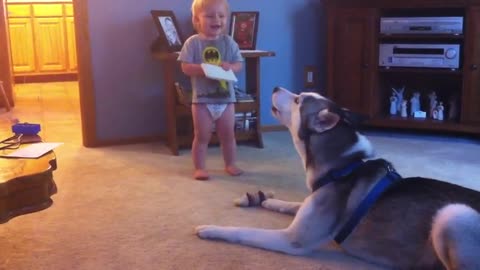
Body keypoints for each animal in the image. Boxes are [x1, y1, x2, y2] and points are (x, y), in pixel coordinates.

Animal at [195, 87, 480, 268]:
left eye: (298, 100)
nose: (275, 86)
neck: (343, 166)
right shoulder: (312, 203)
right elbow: (293, 203)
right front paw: (269, 201)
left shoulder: (292, 239)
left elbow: (244, 231)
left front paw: (212, 229)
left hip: (453, 214)